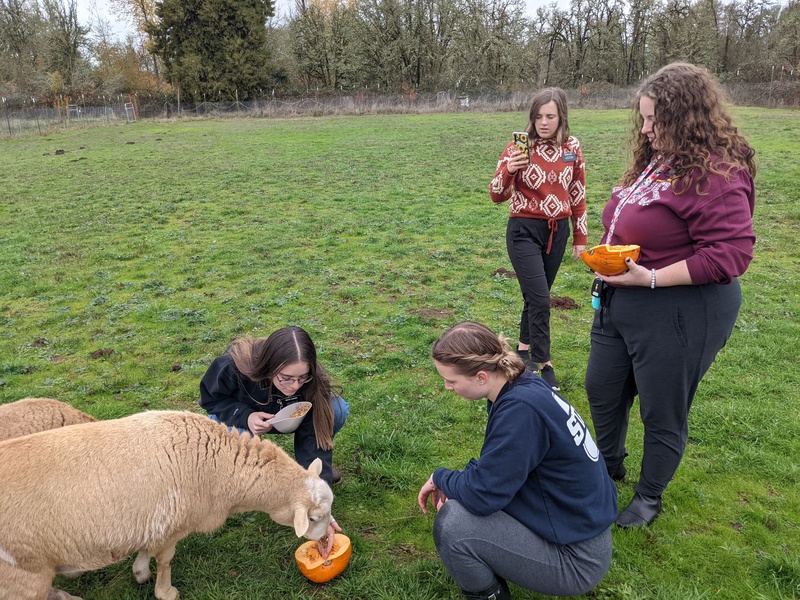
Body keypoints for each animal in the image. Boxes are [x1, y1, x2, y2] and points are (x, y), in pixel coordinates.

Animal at [0, 410, 334, 600]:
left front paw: (139, 573)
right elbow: (165, 559)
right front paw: (165, 591)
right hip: (22, 572)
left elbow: (147, 548)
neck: (218, 468)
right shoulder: (173, 522)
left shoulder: (154, 518)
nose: (327, 544)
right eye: (315, 517)